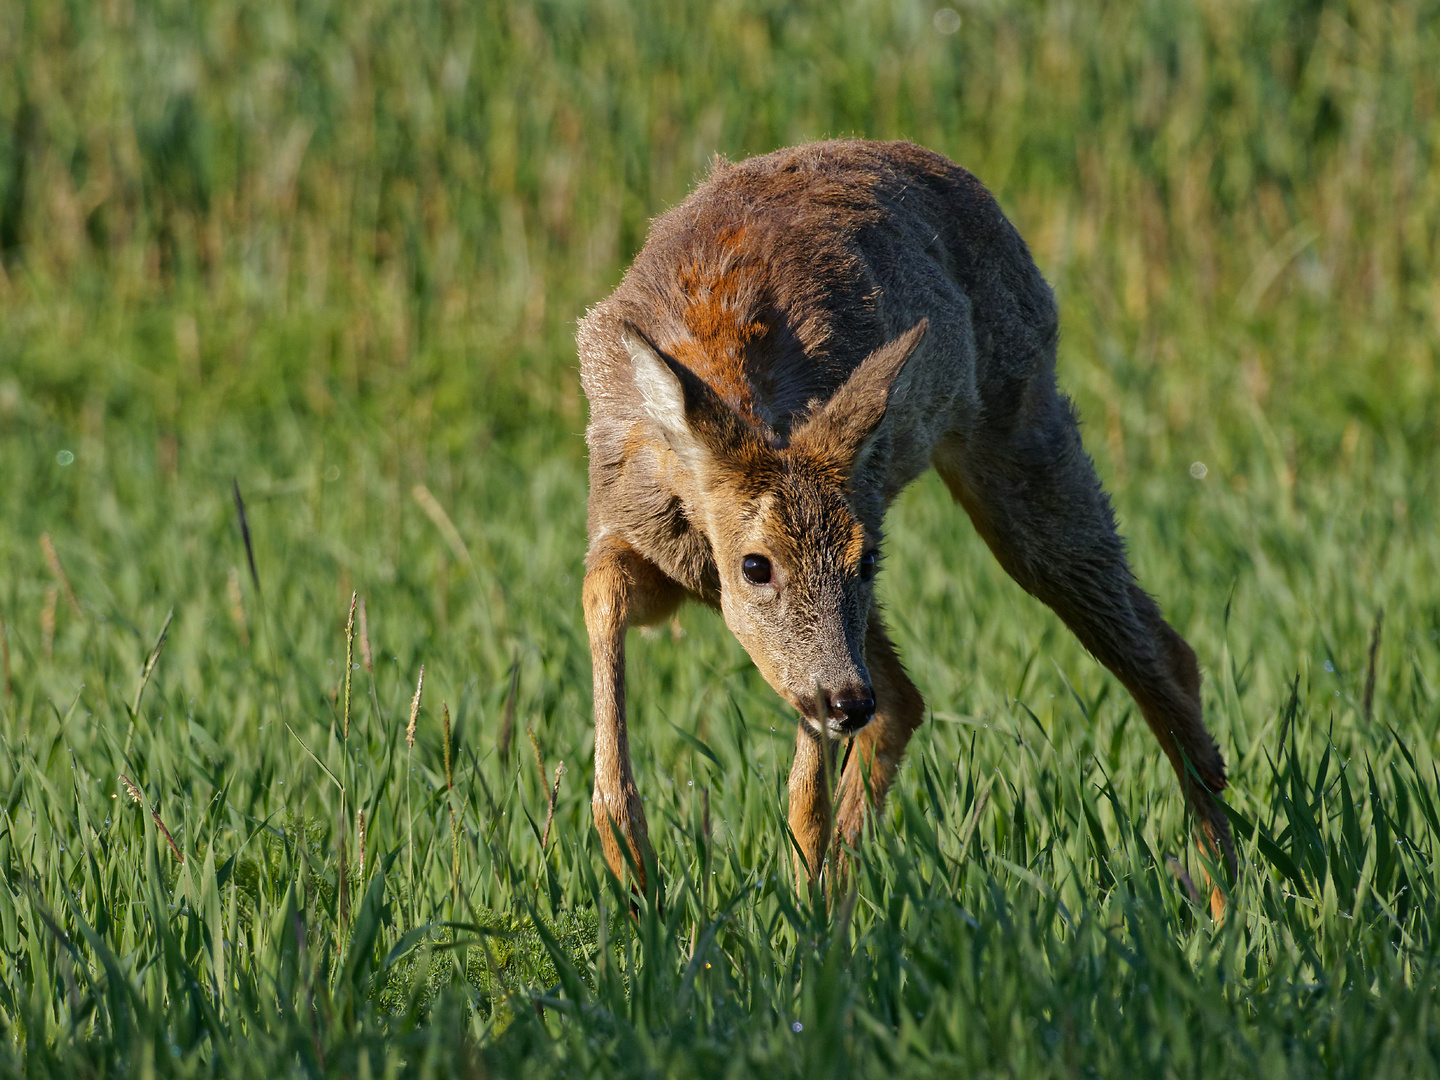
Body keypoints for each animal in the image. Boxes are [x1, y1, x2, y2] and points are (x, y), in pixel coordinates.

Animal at [578, 137, 1232, 921]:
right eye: (756, 565)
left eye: (865, 562)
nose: (843, 701)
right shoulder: (636, 537)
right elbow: (601, 604)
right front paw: (635, 877)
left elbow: (805, 795)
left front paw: (791, 905)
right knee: (908, 700)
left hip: (1019, 456)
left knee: (1151, 651)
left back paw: (1225, 892)